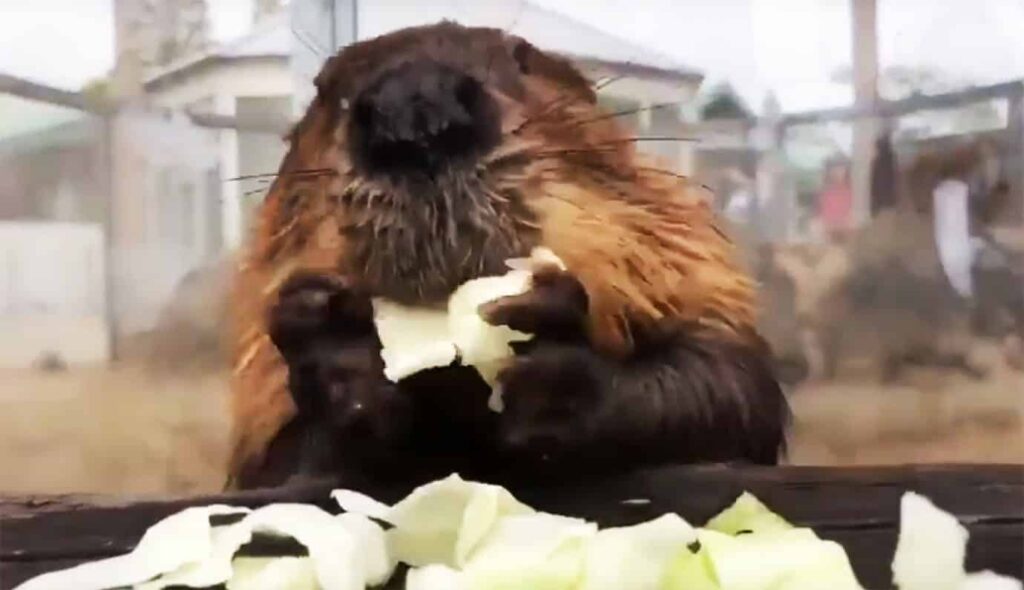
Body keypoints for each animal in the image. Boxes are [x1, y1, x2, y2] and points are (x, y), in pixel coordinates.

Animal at [226, 20, 790, 491]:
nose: (415, 106)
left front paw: (546, 352)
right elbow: (279, 471)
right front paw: (340, 346)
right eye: (325, 88)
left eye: (522, 57)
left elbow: (724, 386)